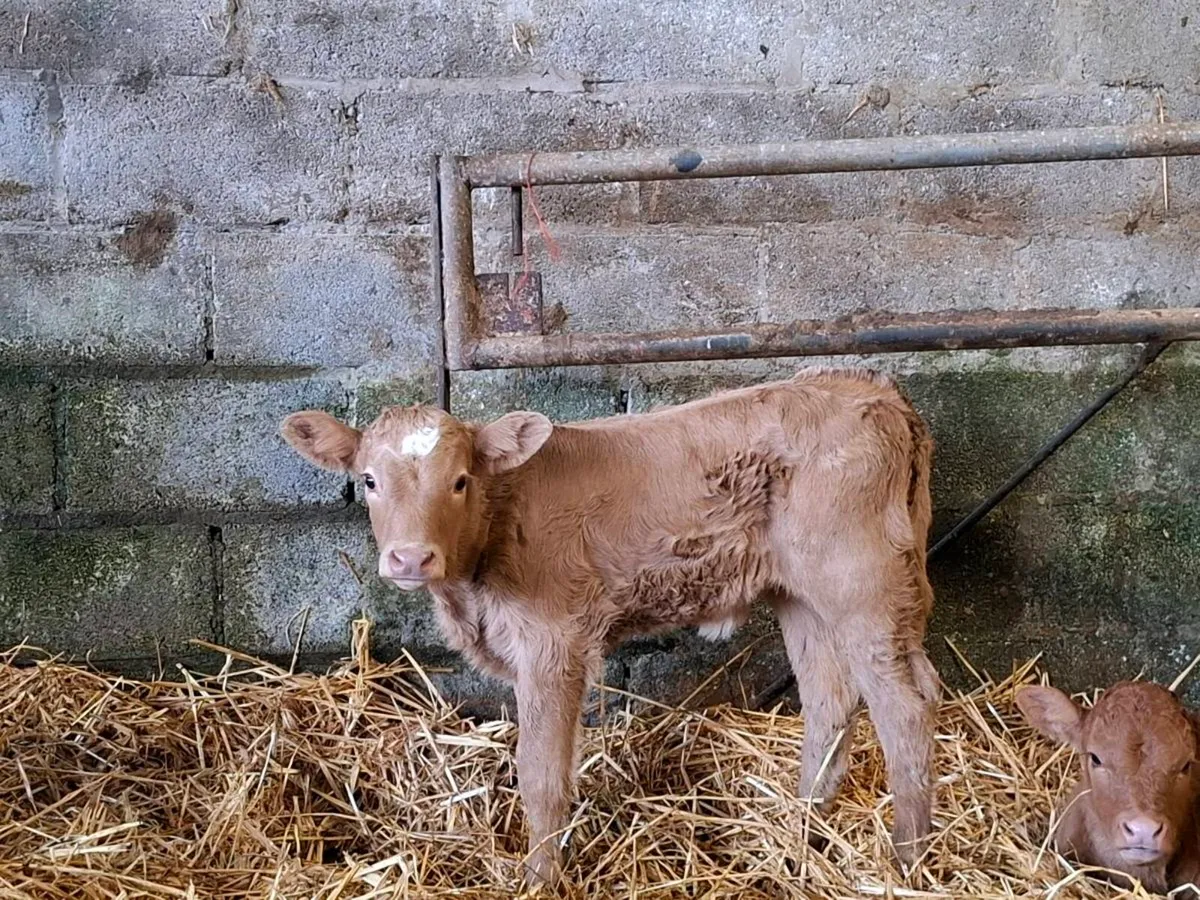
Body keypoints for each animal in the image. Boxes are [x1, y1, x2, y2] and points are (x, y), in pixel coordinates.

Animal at [281, 367, 941, 886]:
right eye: (369, 480)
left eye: (460, 481)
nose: (411, 559)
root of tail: (872, 390)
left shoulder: (554, 642)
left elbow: (541, 773)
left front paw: (540, 879)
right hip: (804, 595)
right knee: (832, 701)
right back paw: (802, 831)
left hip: (862, 584)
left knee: (904, 708)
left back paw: (906, 862)